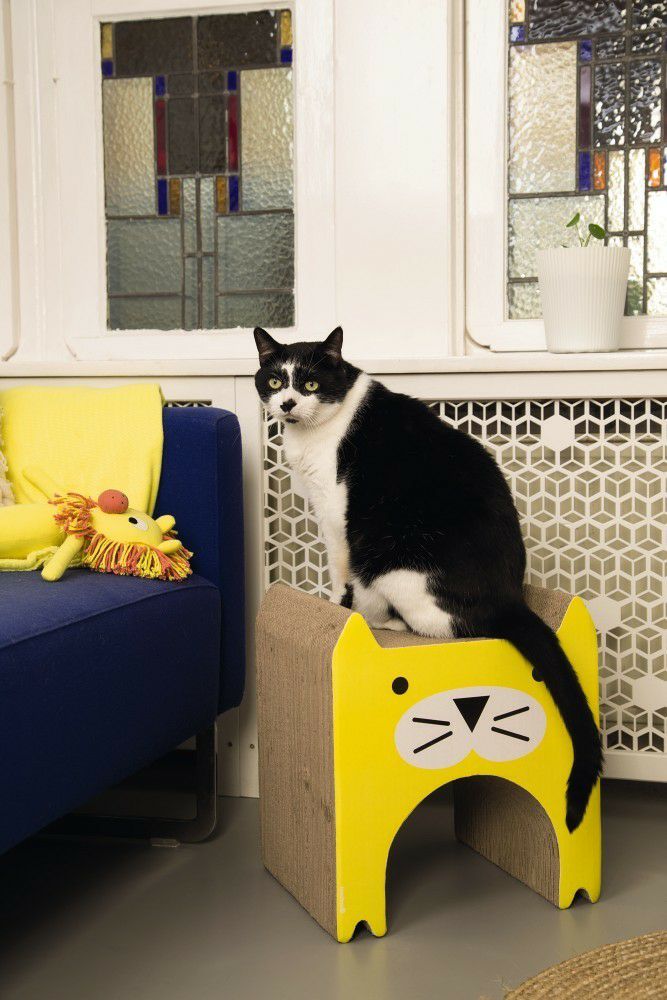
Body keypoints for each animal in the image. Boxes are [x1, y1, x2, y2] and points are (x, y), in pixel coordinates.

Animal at [253, 325, 603, 831]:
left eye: (312, 384)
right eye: (277, 380)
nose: (286, 404)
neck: (316, 432)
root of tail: (509, 598)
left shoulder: (336, 516)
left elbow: (340, 572)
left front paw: (336, 608)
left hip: (395, 563)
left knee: (439, 625)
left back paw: (383, 620)